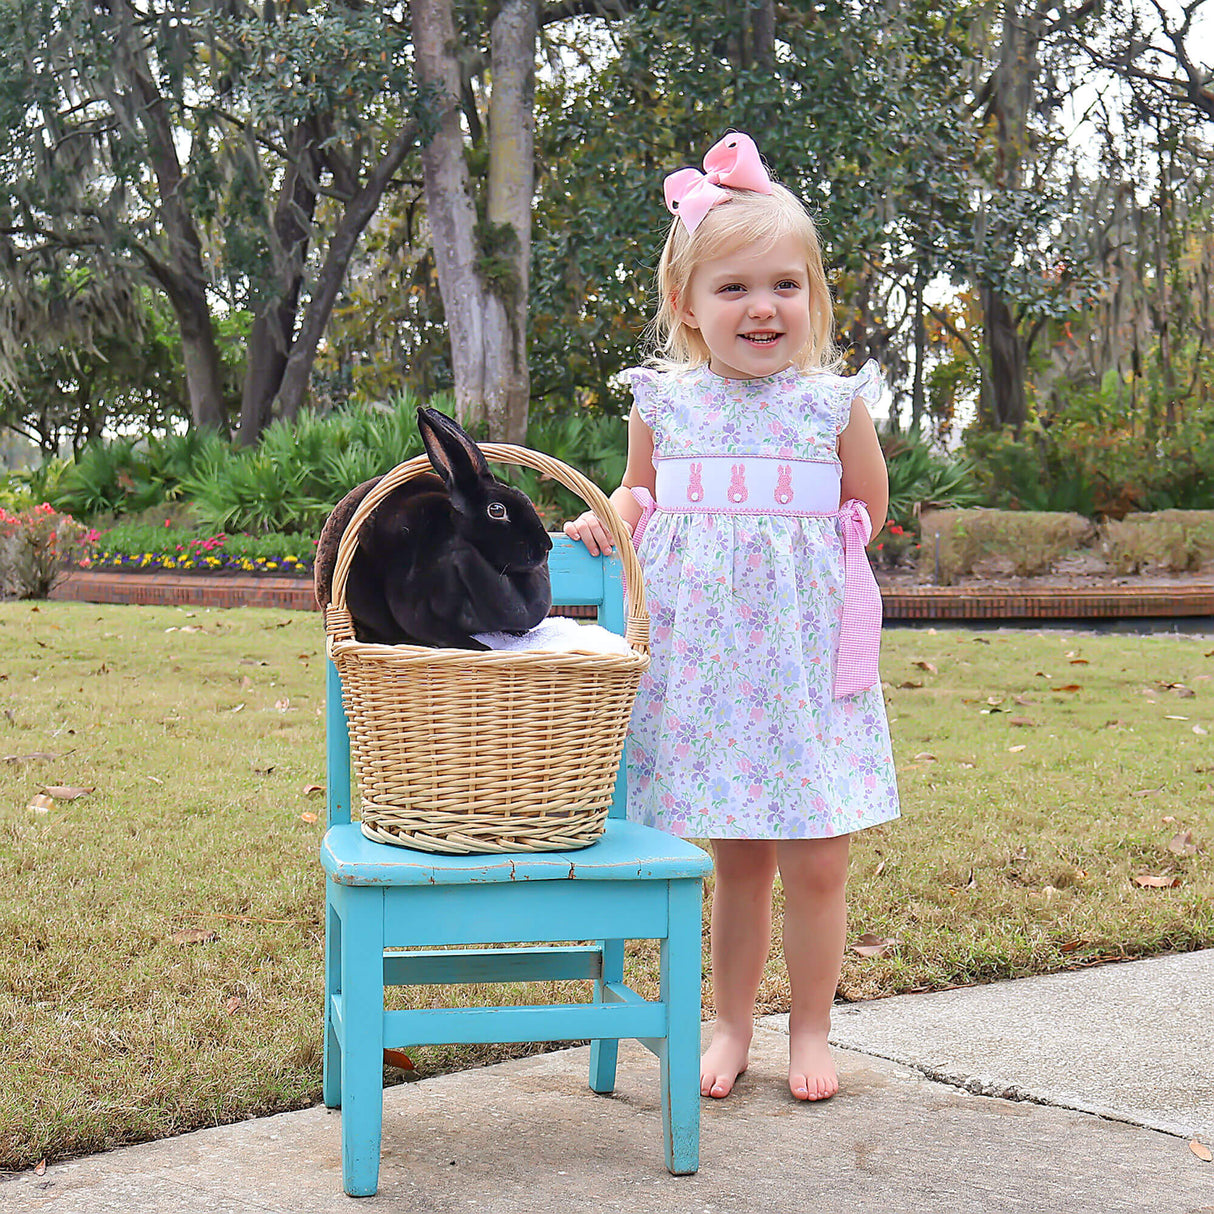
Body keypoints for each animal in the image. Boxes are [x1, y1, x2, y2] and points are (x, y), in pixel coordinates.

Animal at [315, 407, 556, 650]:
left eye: (524, 497)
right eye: (496, 510)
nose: (546, 545)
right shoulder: (417, 609)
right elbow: (443, 634)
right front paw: (482, 648)